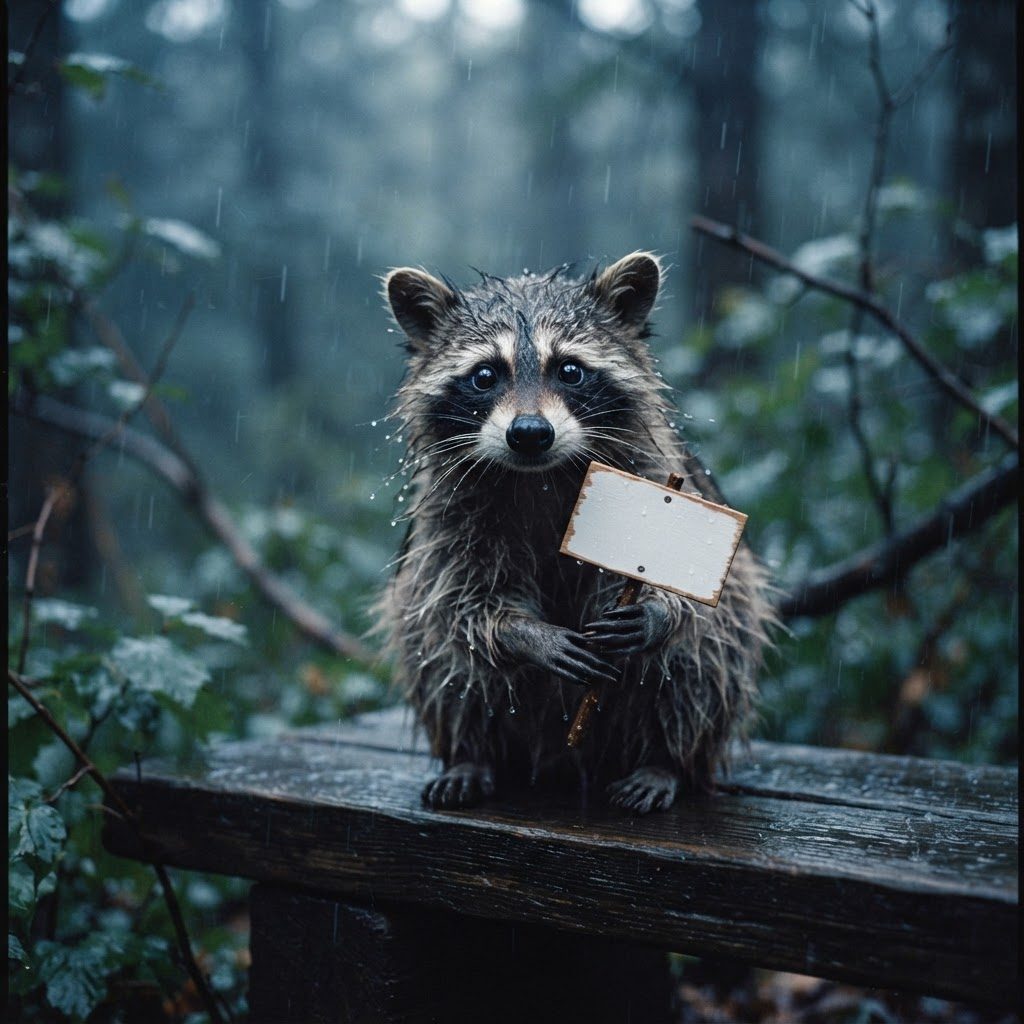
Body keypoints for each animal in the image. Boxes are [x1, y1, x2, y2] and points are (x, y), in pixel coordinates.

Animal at [379, 252, 772, 814]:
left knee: (706, 658)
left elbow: (700, 609)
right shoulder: (451, 519)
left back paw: (665, 761)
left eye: (569, 370)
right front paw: (524, 633)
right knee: (436, 656)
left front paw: (658, 609)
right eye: (484, 375)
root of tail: (565, 760)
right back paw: (472, 754)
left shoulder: (653, 475)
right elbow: (459, 603)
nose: (529, 433)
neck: (537, 474)